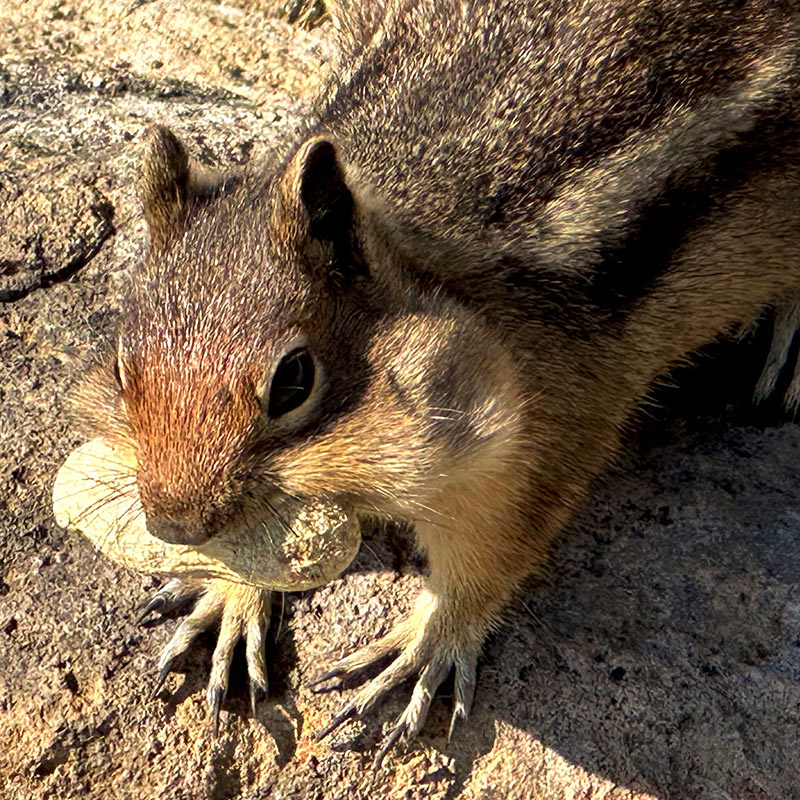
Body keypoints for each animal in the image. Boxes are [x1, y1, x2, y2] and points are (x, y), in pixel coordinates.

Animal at [72, 0, 796, 756]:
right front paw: (228, 594)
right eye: (123, 366)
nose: (174, 525)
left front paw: (426, 644)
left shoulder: (548, 423)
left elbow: (492, 555)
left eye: (293, 381)